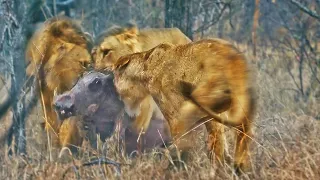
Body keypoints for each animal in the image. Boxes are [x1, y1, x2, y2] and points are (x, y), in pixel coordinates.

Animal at [110, 38, 255, 174]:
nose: (117, 95)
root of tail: (233, 58)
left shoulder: (173, 114)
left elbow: (182, 138)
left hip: (202, 99)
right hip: (238, 103)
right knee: (242, 130)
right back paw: (238, 167)